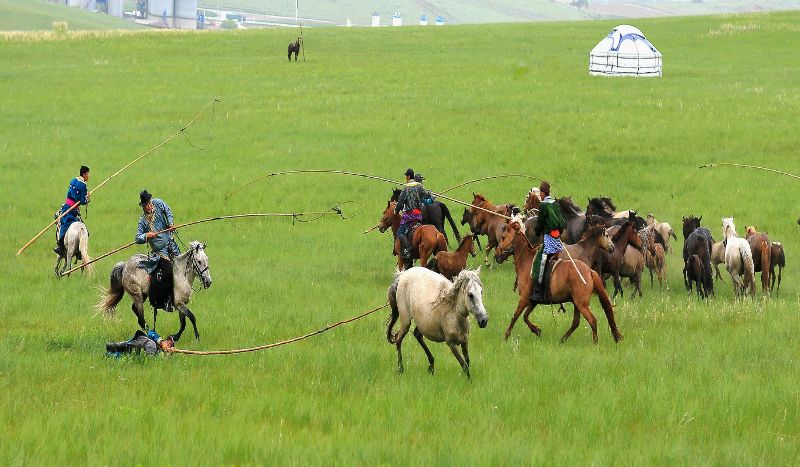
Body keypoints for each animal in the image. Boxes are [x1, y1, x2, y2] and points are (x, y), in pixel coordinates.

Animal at [494, 219, 622, 344]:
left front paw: (506, 336)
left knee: (592, 320)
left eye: (503, 237)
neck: (527, 262)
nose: (496, 255)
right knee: (576, 322)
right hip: (577, 303)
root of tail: (589, 271)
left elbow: (515, 316)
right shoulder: (533, 301)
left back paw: (594, 343)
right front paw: (536, 330)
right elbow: (525, 316)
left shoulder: (524, 299)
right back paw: (563, 339)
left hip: (581, 304)